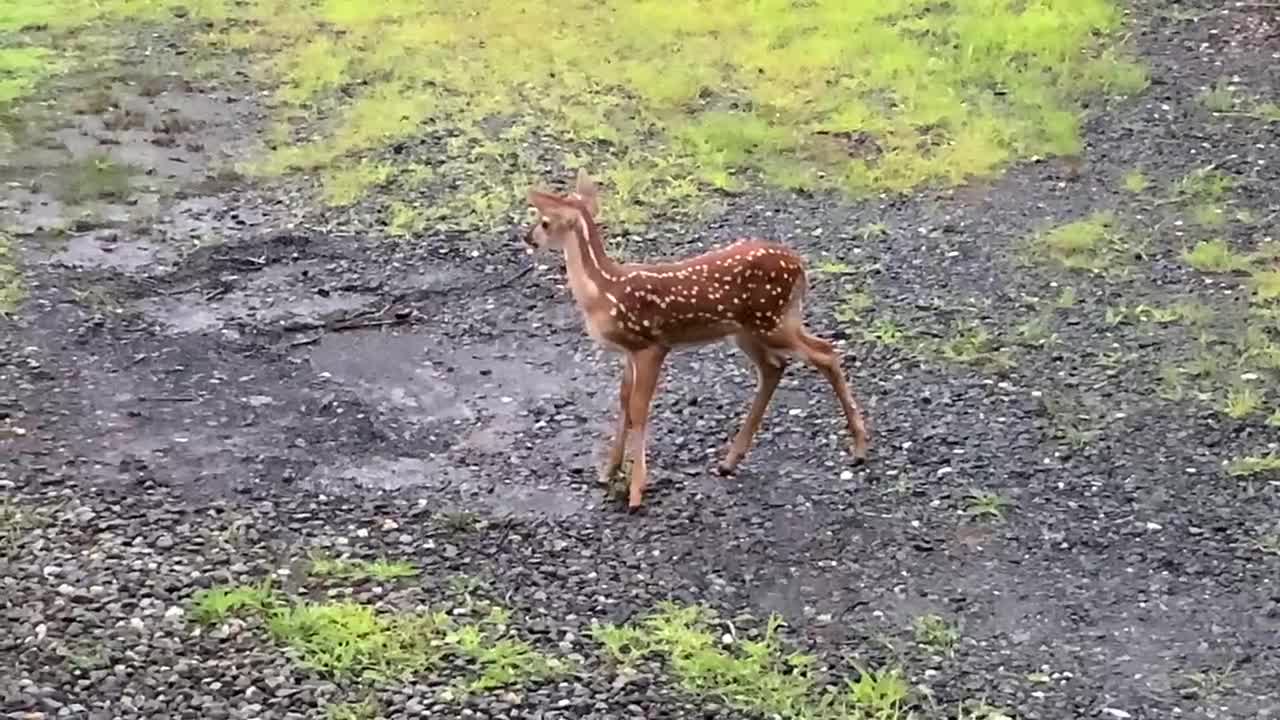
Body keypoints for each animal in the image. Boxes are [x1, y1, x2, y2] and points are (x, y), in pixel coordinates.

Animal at [522, 169, 870, 511]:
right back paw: (730, 461)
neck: (603, 289)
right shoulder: (628, 351)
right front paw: (608, 473)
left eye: (544, 221)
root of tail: (800, 265)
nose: (528, 238)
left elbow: (639, 409)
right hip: (753, 328)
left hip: (770, 320)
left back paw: (860, 448)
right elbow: (623, 402)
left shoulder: (652, 345)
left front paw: (636, 492)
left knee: (825, 353)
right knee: (777, 366)